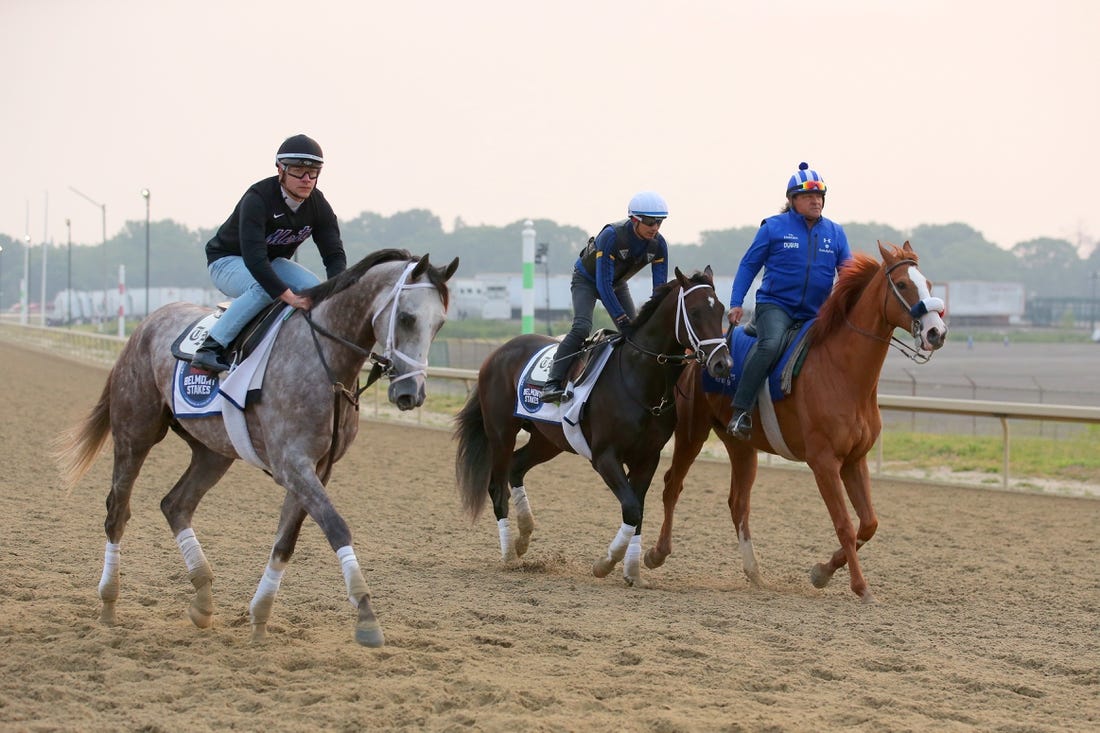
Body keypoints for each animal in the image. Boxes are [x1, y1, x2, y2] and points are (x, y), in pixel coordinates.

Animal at [451, 267, 734, 581]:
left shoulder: (648, 458)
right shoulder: (604, 456)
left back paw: (523, 536)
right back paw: (510, 555)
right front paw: (606, 563)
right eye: (695, 312)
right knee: (497, 486)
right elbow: (632, 508)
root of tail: (496, 353)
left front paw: (632, 571)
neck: (638, 379)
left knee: (516, 467)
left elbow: (638, 510)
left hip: (548, 440)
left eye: (721, 310)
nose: (723, 364)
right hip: (501, 432)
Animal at [642, 239, 946, 598]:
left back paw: (754, 572)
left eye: (928, 284)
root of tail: (696, 354)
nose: (936, 332)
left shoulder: (855, 459)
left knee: (738, 503)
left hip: (741, 445)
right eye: (902, 284)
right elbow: (845, 524)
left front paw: (822, 572)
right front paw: (859, 586)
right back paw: (657, 553)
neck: (843, 373)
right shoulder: (824, 462)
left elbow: (869, 524)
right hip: (692, 433)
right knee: (672, 485)